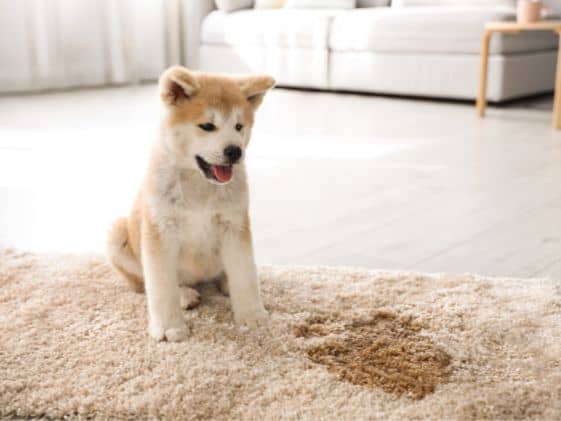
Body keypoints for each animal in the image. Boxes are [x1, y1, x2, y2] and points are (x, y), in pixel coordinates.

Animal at [106, 65, 274, 342]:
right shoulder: (160, 230)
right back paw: (184, 294)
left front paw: (251, 315)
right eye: (207, 126)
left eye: (239, 126)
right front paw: (168, 327)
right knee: (147, 283)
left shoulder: (234, 225)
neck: (199, 184)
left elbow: (244, 274)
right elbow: (161, 286)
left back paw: (225, 283)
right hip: (117, 233)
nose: (234, 151)